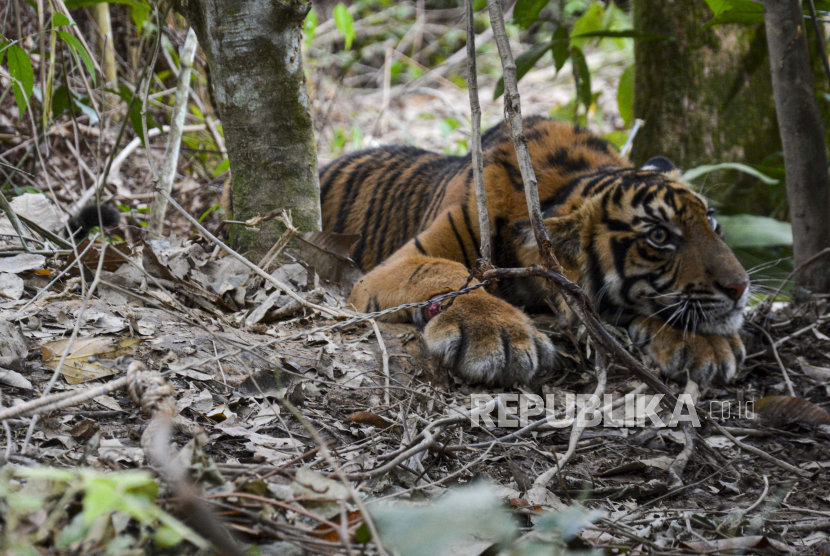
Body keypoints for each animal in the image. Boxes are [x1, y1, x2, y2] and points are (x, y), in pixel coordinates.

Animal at [320, 117, 752, 386]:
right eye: (660, 236)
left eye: (711, 221)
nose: (741, 287)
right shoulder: (397, 263)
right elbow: (444, 271)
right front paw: (496, 333)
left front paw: (707, 345)